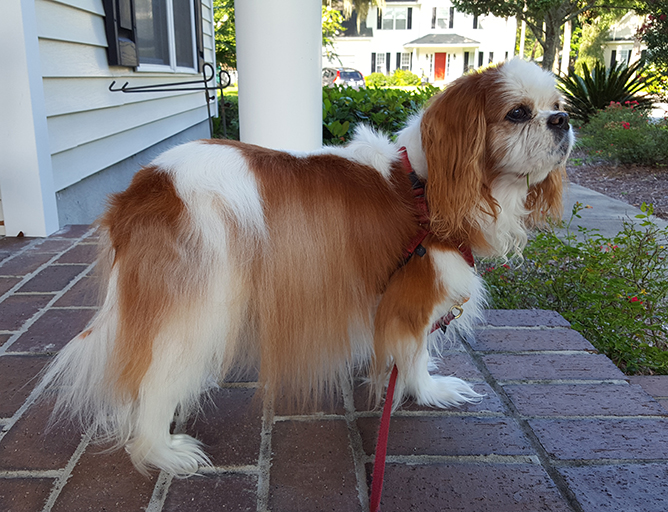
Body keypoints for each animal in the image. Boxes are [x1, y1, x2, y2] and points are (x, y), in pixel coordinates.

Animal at [41, 59, 573, 476]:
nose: (563, 119)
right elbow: (415, 353)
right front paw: (428, 390)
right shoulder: (415, 296)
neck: (425, 187)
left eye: (556, 103)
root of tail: (143, 188)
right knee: (154, 378)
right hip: (203, 300)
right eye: (519, 113)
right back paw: (162, 451)